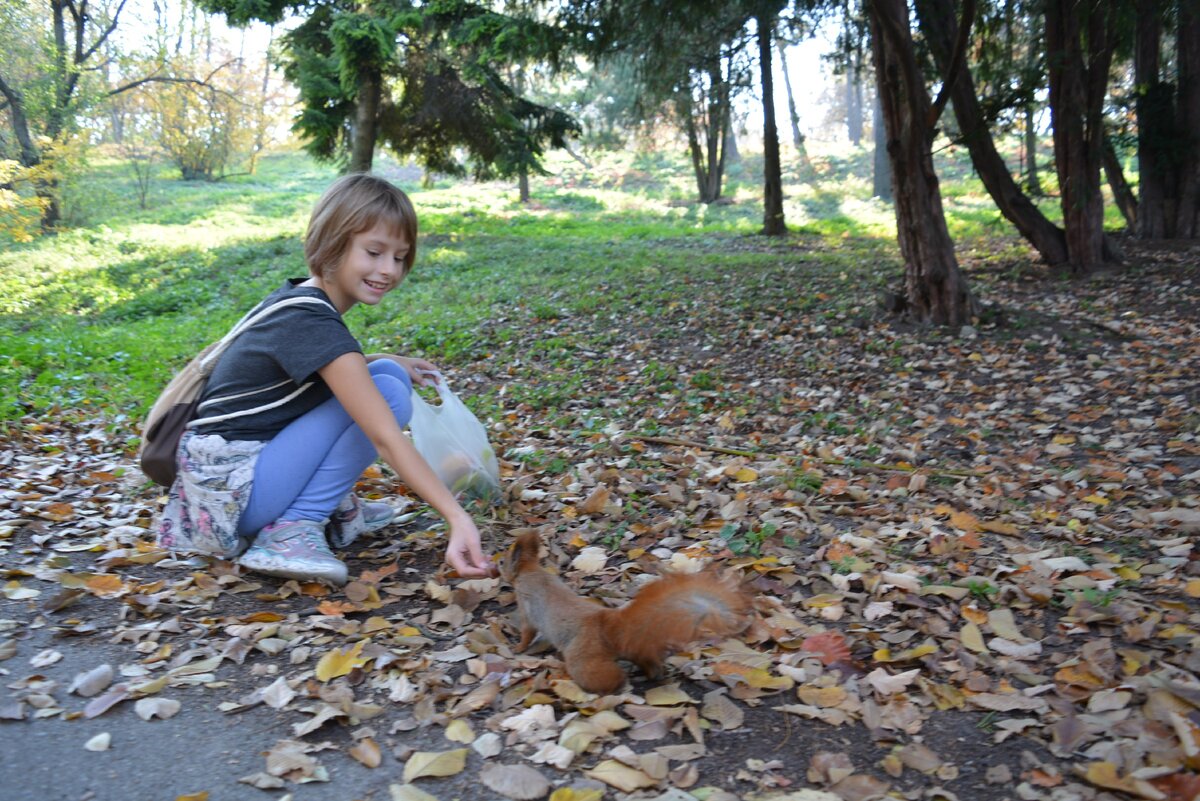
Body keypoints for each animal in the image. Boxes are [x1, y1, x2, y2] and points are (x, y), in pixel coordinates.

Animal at [499, 532, 748, 695]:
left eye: (502, 561)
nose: (495, 568)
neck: (531, 571)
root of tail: (610, 626)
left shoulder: (526, 606)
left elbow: (527, 631)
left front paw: (518, 647)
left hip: (584, 657)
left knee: (603, 677)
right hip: (633, 649)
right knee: (647, 661)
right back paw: (655, 673)